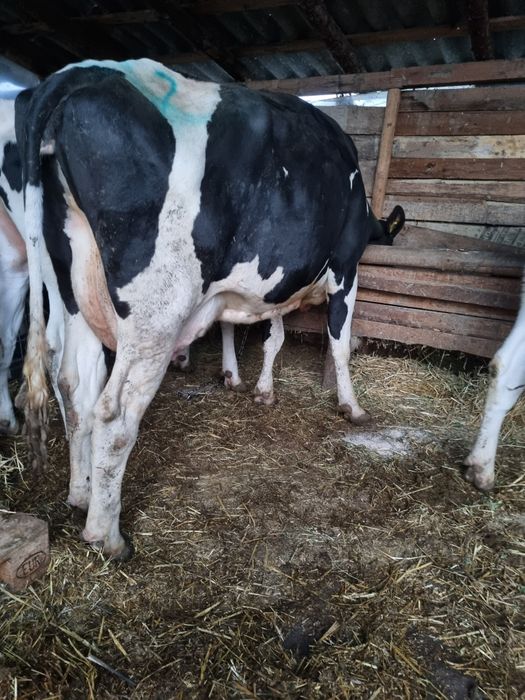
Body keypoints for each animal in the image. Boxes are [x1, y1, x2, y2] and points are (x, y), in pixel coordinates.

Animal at [17, 58, 404, 559]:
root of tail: (82, 72)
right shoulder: (344, 267)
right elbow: (338, 343)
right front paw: (351, 406)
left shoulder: (267, 285)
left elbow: (271, 334)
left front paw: (257, 387)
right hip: (156, 312)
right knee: (114, 414)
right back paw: (108, 536)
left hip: (74, 292)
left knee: (73, 386)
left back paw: (80, 494)